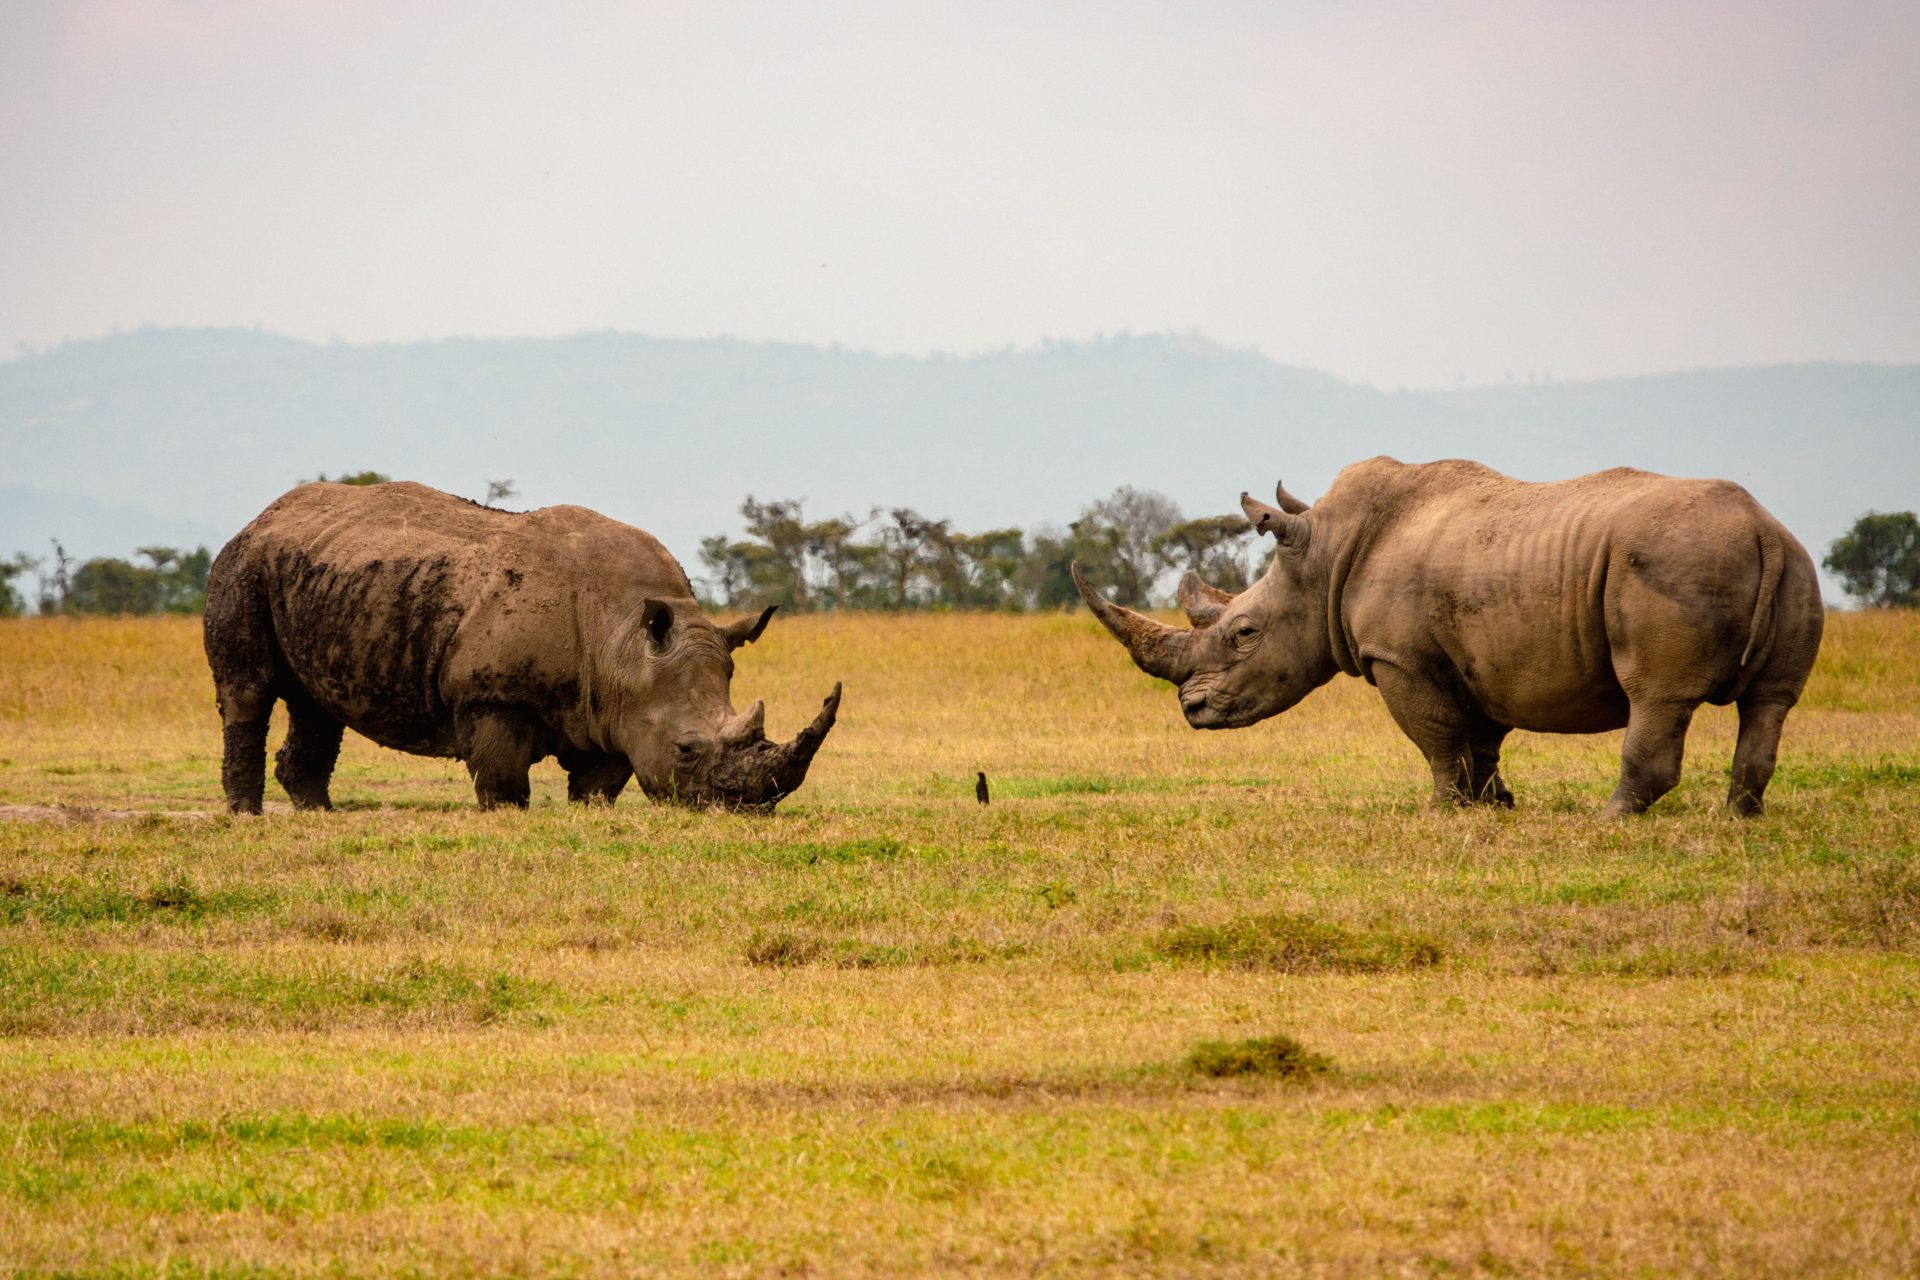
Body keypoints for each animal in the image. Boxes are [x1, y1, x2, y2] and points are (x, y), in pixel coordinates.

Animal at [202, 479, 840, 809]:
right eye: (686, 750)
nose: (747, 809)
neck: (624, 644)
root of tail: (260, 517)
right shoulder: (490, 695)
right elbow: (503, 783)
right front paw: (505, 816)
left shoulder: (614, 708)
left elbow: (598, 787)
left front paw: (589, 812)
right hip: (242, 566)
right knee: (248, 692)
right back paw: (248, 817)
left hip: (321, 574)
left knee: (316, 704)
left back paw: (317, 814)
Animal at [1075, 460, 1820, 821]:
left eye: (1243, 633)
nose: (1191, 710)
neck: (1325, 555)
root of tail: (1761, 529)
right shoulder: (1478, 655)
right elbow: (1480, 737)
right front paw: (1495, 805)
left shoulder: (1399, 658)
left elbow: (1434, 735)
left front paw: (1441, 811)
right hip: (1793, 565)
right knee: (1771, 704)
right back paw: (1739, 821)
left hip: (1675, 563)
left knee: (1657, 697)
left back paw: (1610, 821)